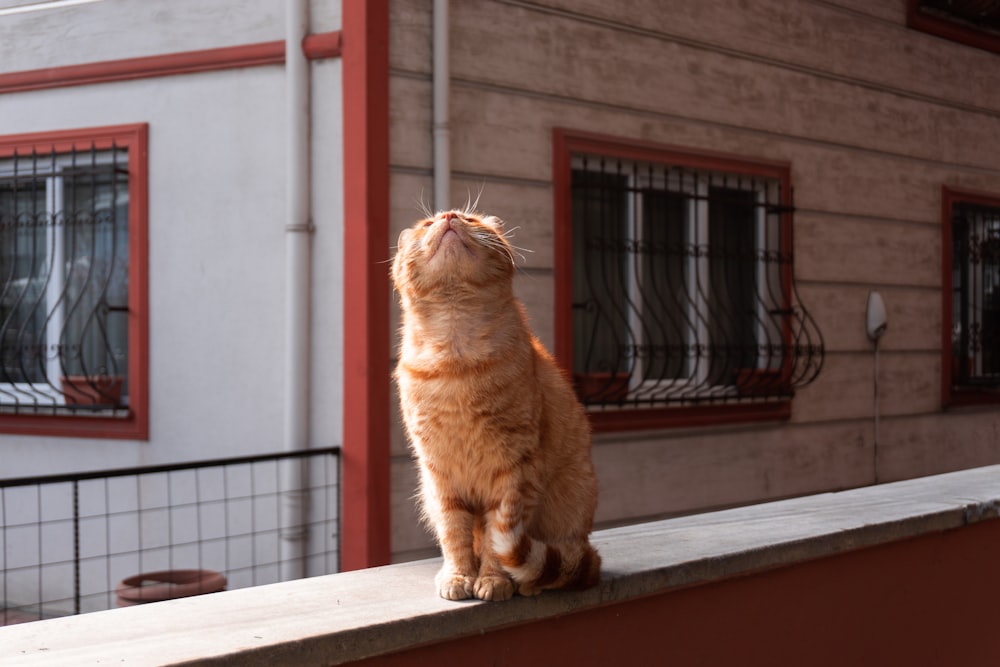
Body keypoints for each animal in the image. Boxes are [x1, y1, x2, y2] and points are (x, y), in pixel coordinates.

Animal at [390, 207, 596, 600]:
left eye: (469, 218)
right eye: (427, 224)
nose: (449, 215)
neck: (455, 357)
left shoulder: (513, 473)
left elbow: (495, 539)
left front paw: (492, 580)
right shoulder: (440, 476)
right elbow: (454, 534)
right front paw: (458, 576)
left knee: (565, 560)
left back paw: (529, 584)